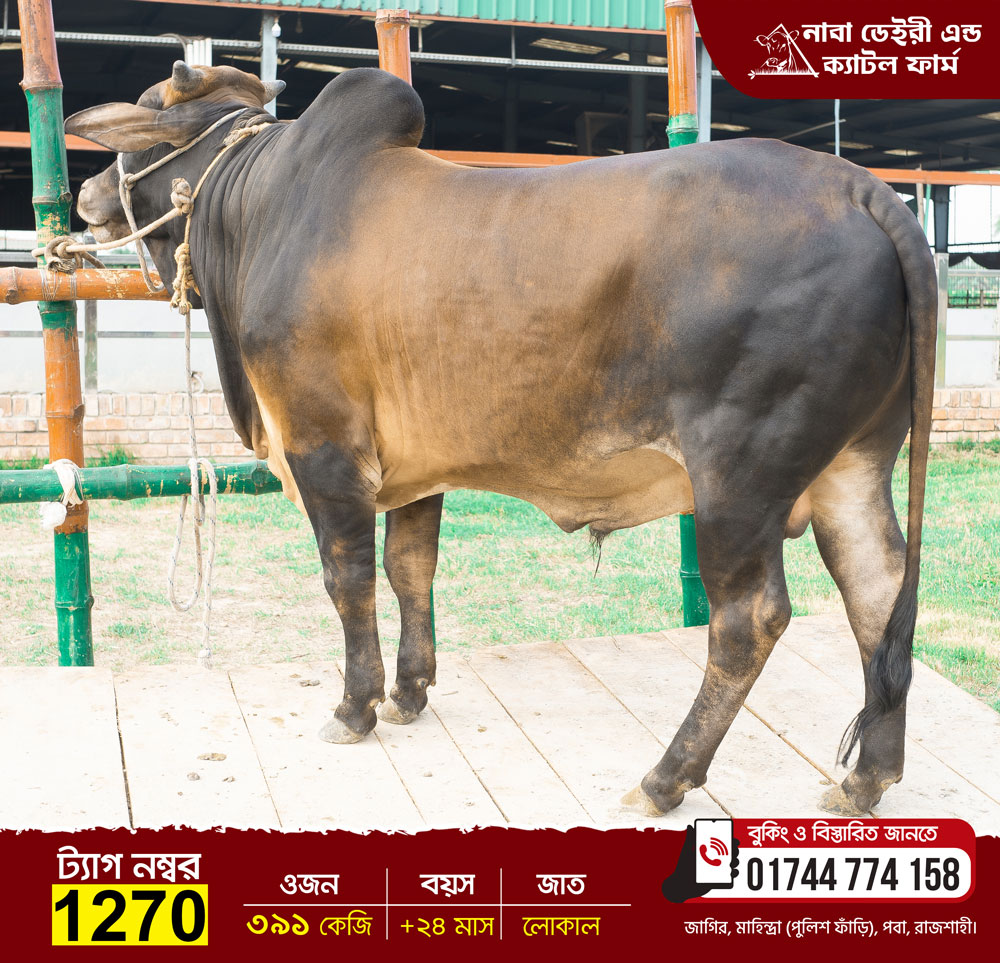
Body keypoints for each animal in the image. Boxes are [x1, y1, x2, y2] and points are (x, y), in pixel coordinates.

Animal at [66, 62, 936, 819]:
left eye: (142, 124)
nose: (85, 191)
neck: (257, 209)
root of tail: (863, 189)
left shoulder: (325, 449)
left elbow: (348, 579)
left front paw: (355, 705)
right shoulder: (414, 467)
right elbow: (408, 566)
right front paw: (409, 691)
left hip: (741, 477)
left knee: (749, 618)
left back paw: (665, 778)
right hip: (853, 466)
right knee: (879, 588)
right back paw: (866, 778)